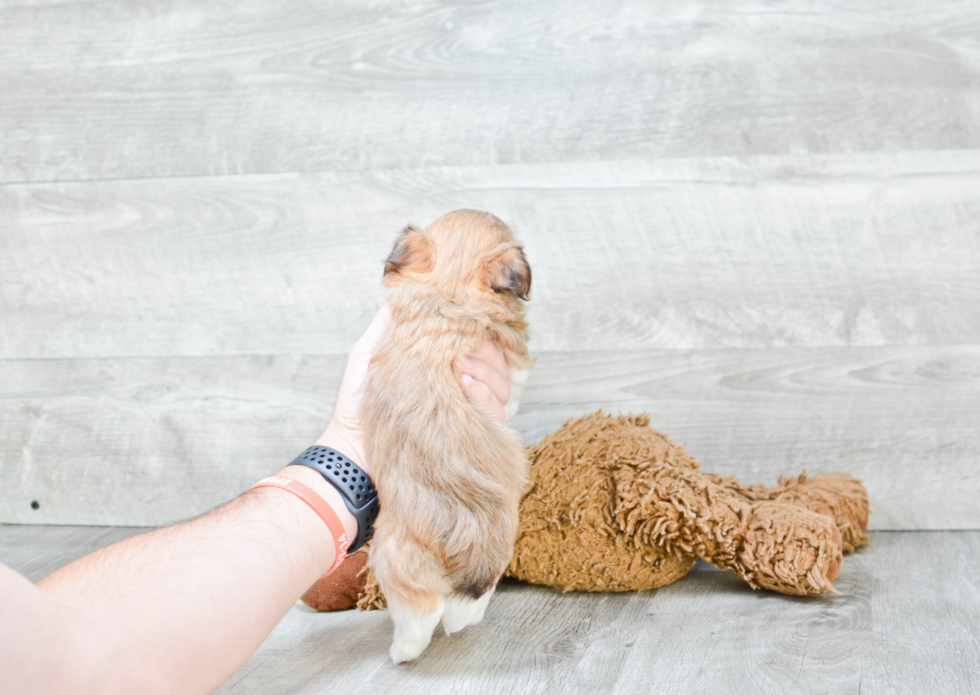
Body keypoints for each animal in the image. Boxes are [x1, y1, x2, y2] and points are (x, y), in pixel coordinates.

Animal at [360, 211, 532, 664]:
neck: (449, 289)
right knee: (454, 602)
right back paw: (446, 630)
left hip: (391, 553)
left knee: (421, 609)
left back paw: (404, 650)